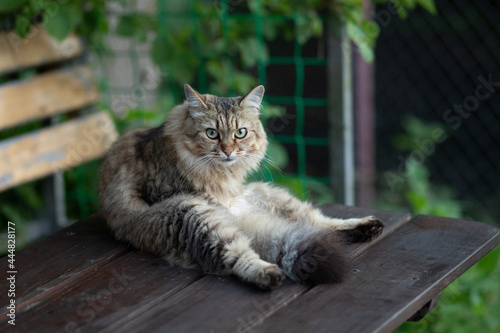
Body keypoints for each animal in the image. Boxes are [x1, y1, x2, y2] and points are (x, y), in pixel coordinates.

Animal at [99, 84, 384, 290]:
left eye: (241, 133)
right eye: (212, 133)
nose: (228, 151)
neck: (221, 176)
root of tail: (240, 218)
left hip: (269, 197)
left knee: (320, 223)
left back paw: (365, 227)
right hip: (193, 215)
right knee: (237, 253)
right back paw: (267, 274)